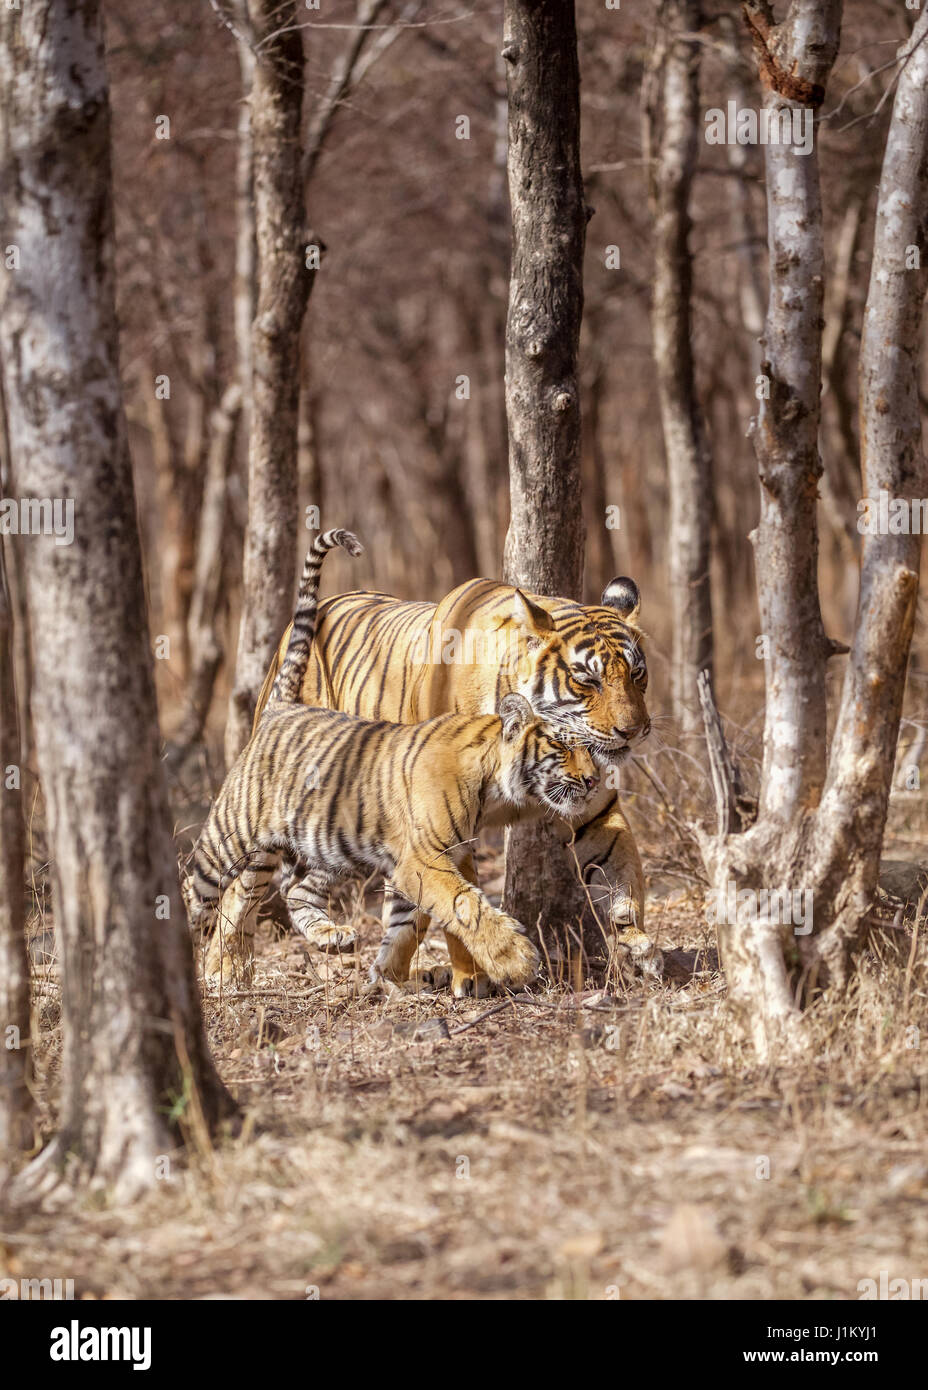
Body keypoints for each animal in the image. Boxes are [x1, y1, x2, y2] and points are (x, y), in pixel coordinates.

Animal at [254, 569, 655, 995]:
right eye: (587, 680)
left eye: (637, 674)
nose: (633, 731)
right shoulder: (447, 824)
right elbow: (459, 904)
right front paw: (474, 977)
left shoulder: (594, 810)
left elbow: (623, 870)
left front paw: (635, 942)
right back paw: (232, 971)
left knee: (310, 887)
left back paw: (349, 949)